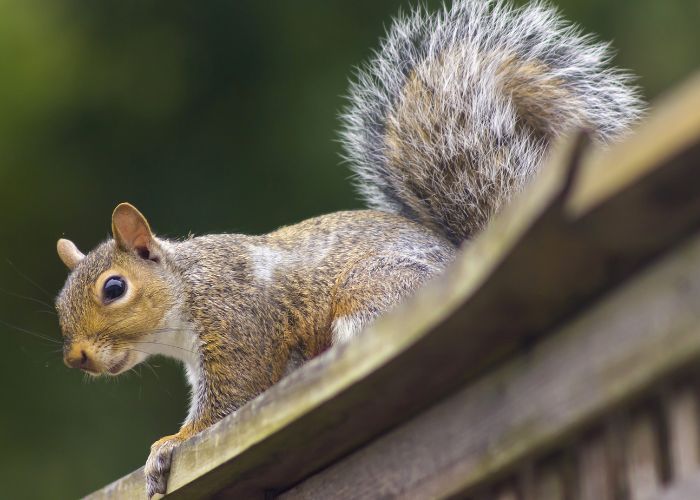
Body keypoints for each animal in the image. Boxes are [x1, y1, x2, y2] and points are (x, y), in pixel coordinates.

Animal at [54, 0, 644, 496]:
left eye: (114, 288)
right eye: (60, 305)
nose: (75, 357)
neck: (187, 290)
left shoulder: (239, 325)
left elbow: (231, 398)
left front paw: (168, 446)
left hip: (373, 298)